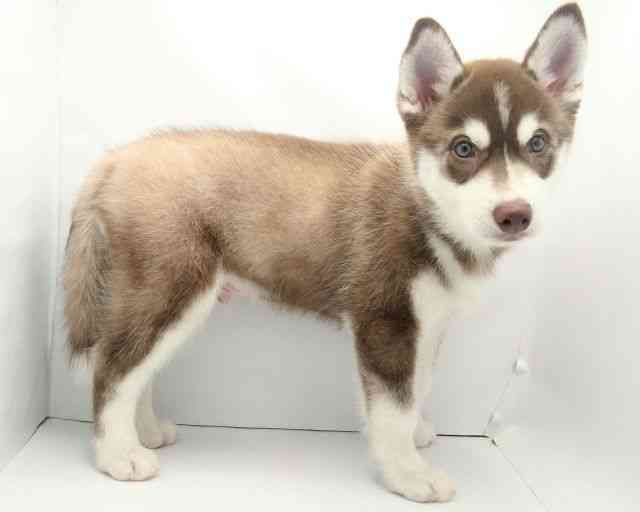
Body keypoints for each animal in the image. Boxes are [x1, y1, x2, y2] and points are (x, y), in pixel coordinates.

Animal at [63, 3, 586, 502]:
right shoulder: (385, 319)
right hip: (173, 288)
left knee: (137, 366)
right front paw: (407, 473)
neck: (426, 210)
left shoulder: (426, 322)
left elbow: (418, 387)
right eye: (463, 149)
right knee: (113, 369)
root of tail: (119, 155)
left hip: (169, 298)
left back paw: (143, 432)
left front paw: (415, 436)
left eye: (538, 143)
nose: (514, 214)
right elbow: (394, 406)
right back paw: (117, 455)